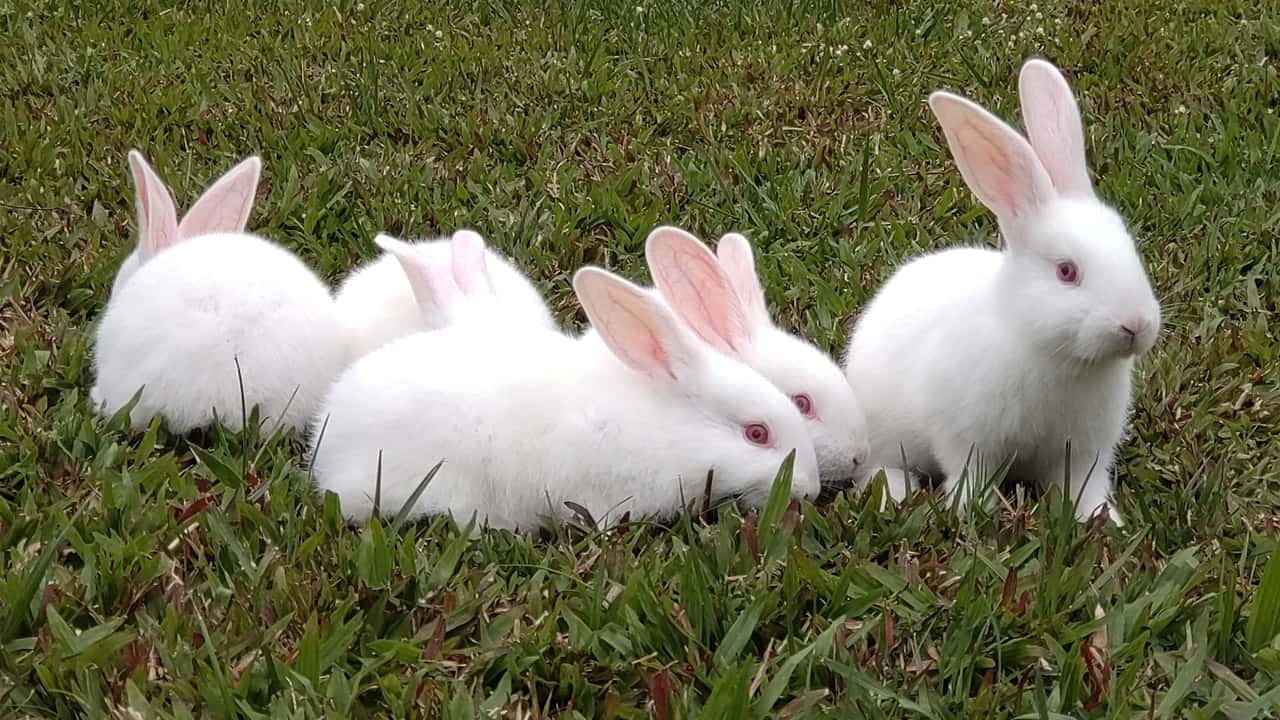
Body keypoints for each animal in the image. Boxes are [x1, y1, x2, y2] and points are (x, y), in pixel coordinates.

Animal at [842, 59, 1161, 523]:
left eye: (1131, 250)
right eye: (1067, 272)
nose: (1136, 323)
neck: (1053, 355)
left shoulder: (1084, 451)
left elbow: (1084, 487)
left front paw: (1102, 520)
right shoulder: (963, 434)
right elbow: (968, 471)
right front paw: (973, 511)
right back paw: (896, 495)